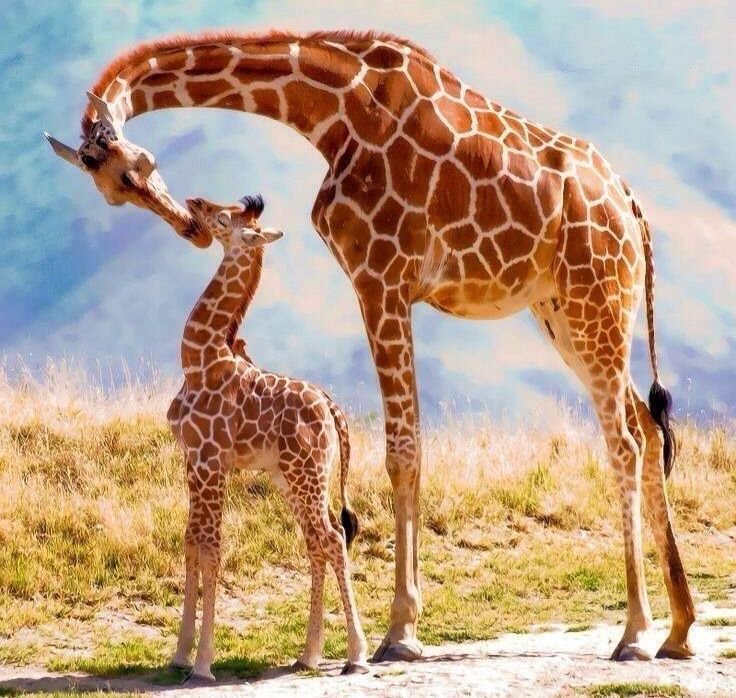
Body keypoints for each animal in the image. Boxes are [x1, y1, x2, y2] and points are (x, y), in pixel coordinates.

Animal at [166, 192, 369, 680]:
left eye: (223, 218)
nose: (193, 201)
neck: (199, 361)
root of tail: (332, 408)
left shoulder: (212, 462)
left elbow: (211, 548)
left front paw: (203, 664)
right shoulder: (193, 461)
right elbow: (190, 542)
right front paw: (179, 654)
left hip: (306, 473)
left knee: (332, 539)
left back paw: (356, 655)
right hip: (291, 477)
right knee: (318, 541)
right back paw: (308, 654)